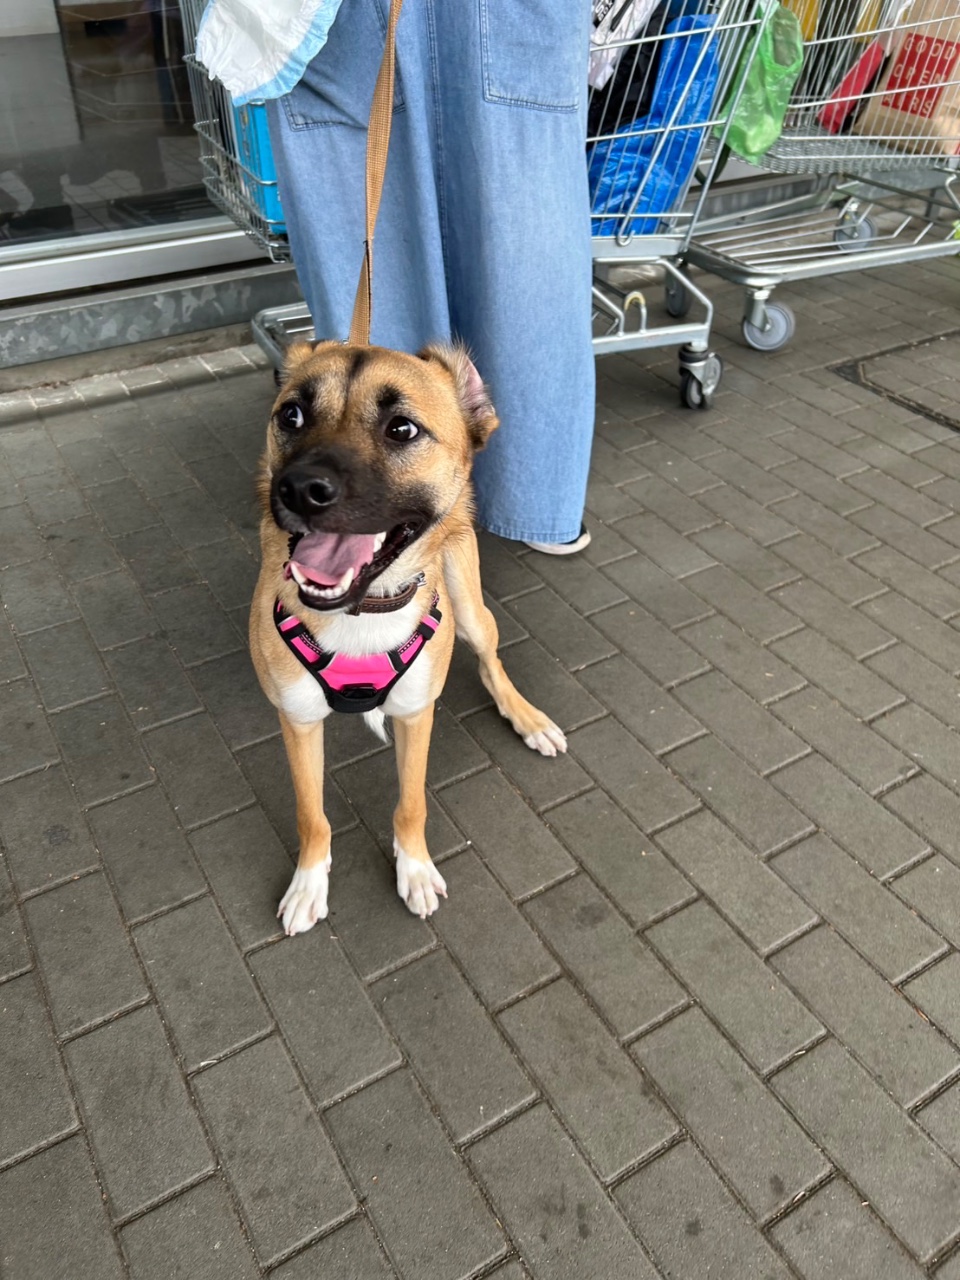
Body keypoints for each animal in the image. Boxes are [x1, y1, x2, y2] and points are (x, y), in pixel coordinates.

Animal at [250, 340, 567, 935]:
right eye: (291, 415)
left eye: (402, 429)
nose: (299, 489)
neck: (363, 612)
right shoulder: (298, 721)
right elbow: (311, 814)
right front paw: (309, 883)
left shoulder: (417, 714)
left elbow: (411, 803)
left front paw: (414, 869)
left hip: (470, 607)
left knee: (490, 660)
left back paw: (528, 718)